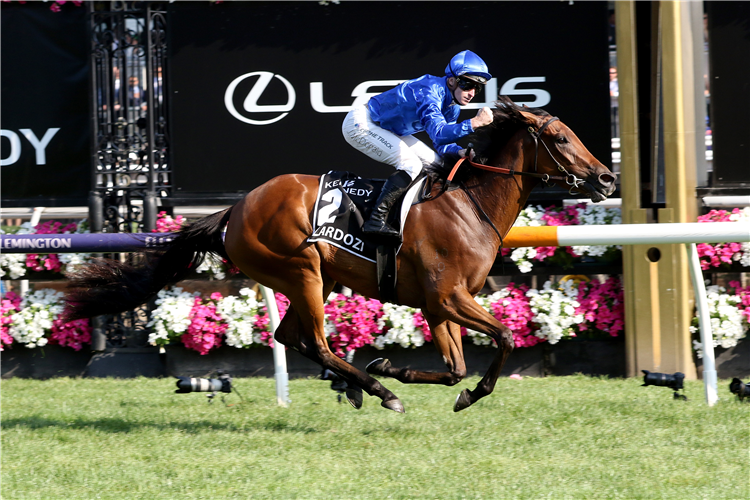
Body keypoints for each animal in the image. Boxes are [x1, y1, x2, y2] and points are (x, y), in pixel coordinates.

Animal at [64, 97, 616, 414]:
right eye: (560, 137)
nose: (607, 177)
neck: (468, 203)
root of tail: (235, 209)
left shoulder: (439, 303)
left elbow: (455, 367)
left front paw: (399, 368)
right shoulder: (448, 297)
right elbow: (502, 338)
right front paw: (428, 385)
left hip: (316, 279)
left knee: (293, 338)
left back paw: (360, 384)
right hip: (302, 271)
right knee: (316, 342)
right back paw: (376, 392)